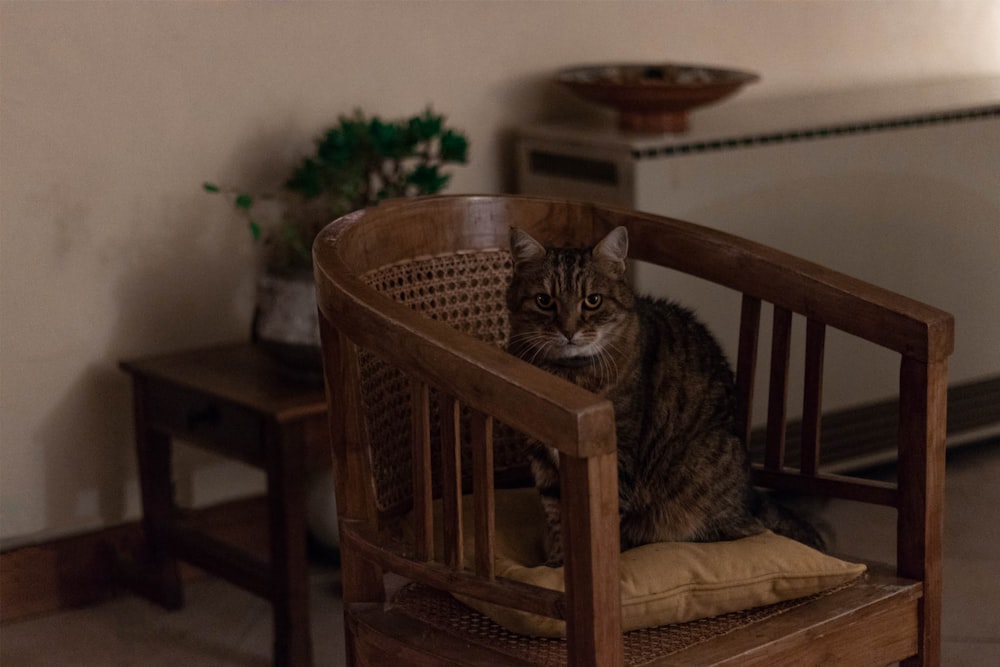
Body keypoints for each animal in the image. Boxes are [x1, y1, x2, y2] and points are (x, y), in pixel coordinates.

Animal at [504, 227, 824, 568]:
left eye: (592, 301)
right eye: (544, 300)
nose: (568, 331)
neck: (566, 374)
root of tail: (749, 497)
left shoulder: (618, 458)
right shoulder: (542, 461)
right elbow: (556, 518)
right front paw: (556, 565)